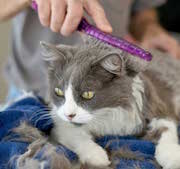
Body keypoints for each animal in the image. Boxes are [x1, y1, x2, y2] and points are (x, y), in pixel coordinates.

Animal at [14, 35, 180, 168]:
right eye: (59, 92)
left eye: (87, 94)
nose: (69, 115)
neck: (106, 114)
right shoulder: (60, 123)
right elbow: (75, 135)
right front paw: (97, 156)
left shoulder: (156, 107)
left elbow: (167, 129)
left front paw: (172, 158)